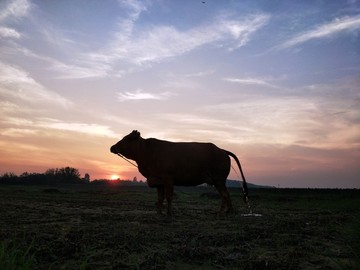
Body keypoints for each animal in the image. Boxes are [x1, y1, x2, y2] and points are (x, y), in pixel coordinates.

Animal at [111, 130, 249, 216]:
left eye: (128, 138)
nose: (112, 147)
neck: (147, 152)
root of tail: (221, 150)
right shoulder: (159, 181)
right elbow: (160, 198)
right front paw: (159, 212)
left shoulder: (168, 179)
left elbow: (169, 197)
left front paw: (169, 213)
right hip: (219, 181)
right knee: (227, 195)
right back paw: (229, 212)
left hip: (219, 180)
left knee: (225, 195)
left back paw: (220, 213)